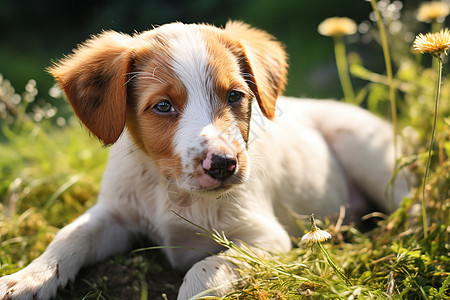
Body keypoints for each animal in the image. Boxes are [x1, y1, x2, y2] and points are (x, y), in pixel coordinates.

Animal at [0, 22, 408, 298]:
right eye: (163, 106)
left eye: (235, 96)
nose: (224, 164)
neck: (173, 190)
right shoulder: (114, 214)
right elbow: (71, 234)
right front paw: (28, 278)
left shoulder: (266, 238)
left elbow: (207, 266)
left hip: (366, 150)